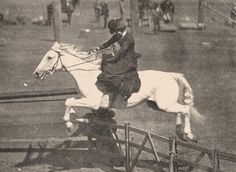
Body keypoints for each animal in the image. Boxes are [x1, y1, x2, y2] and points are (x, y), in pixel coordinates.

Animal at [33, 42, 205, 142]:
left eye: (49, 57)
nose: (36, 73)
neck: (87, 75)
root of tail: (171, 75)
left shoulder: (92, 102)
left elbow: (68, 101)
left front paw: (69, 124)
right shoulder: (86, 100)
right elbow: (70, 101)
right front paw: (73, 117)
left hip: (164, 104)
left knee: (185, 109)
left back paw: (188, 134)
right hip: (157, 105)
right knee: (180, 111)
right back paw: (179, 131)